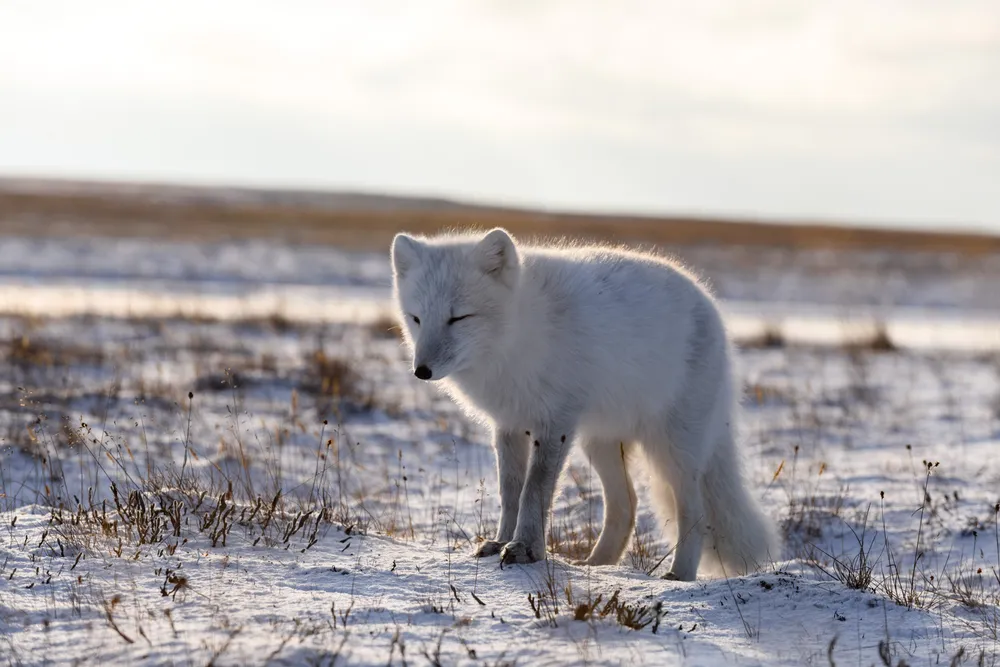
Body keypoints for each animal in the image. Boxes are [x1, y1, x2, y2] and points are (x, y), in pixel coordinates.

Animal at [390, 227, 780, 581]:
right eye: (416, 318)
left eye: (459, 317)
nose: (421, 371)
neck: (519, 336)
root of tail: (710, 305)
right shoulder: (509, 423)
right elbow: (510, 490)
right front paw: (500, 541)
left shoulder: (555, 423)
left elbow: (535, 490)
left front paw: (525, 549)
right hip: (600, 443)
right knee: (626, 505)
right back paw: (597, 565)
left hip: (673, 449)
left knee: (695, 514)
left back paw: (679, 575)